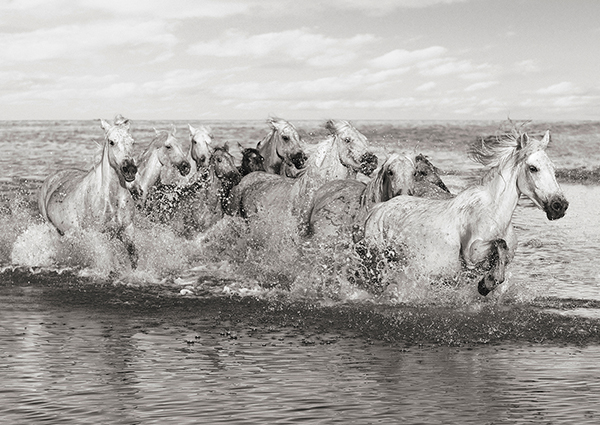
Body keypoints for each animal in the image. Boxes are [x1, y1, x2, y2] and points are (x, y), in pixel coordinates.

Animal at [38, 114, 139, 266]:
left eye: (132, 142)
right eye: (111, 142)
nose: (130, 169)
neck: (111, 199)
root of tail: (52, 178)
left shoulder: (127, 229)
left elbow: (134, 257)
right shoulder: (97, 235)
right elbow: (107, 260)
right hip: (53, 229)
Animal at [358, 129, 568, 294]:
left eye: (553, 169)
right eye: (533, 168)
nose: (560, 206)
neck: (494, 215)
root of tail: (378, 209)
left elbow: (502, 256)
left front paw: (487, 283)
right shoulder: (471, 254)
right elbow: (499, 244)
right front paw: (486, 284)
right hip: (379, 262)